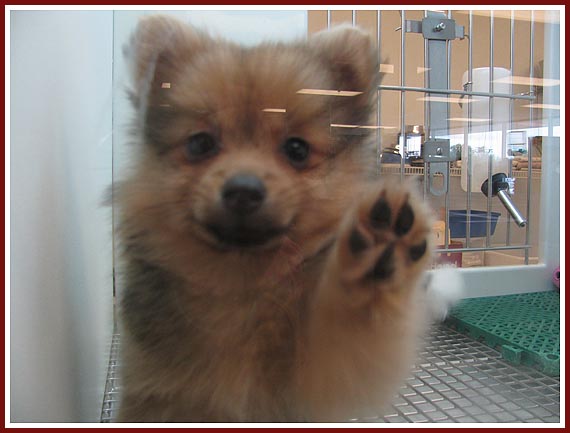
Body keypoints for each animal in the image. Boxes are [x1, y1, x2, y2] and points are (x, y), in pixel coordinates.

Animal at [115, 15, 434, 420]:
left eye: (296, 149)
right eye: (200, 144)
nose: (243, 189)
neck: (242, 284)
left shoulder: (320, 376)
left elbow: (351, 335)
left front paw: (380, 248)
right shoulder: (158, 390)